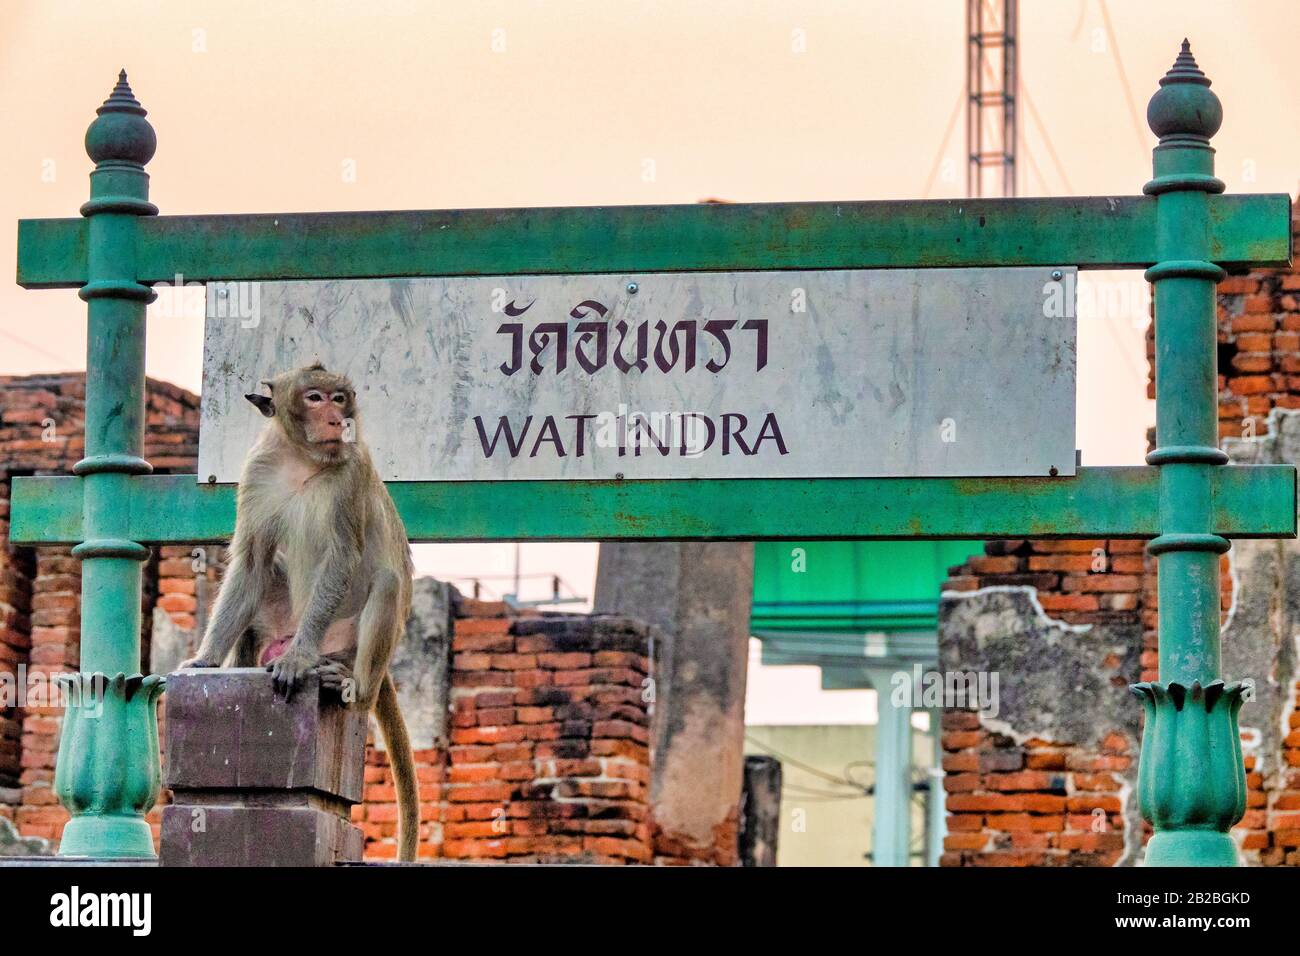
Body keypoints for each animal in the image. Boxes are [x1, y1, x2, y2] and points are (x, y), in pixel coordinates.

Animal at [178, 361, 418, 863]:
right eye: (315, 397)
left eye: (340, 398)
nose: (336, 418)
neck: (302, 459)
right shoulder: (256, 472)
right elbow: (252, 559)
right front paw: (206, 659)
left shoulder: (352, 471)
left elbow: (341, 558)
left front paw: (298, 659)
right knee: (270, 570)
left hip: (350, 643)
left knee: (387, 582)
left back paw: (346, 685)